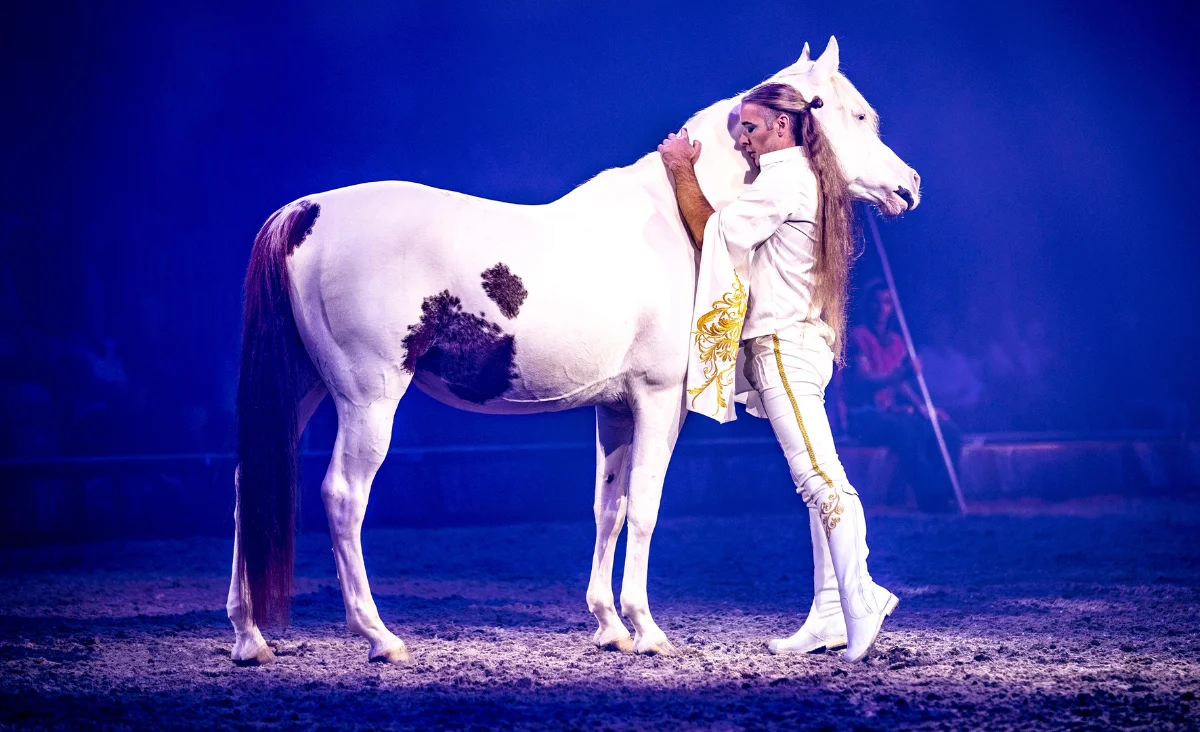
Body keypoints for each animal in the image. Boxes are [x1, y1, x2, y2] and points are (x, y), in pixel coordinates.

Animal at [227, 36, 921, 666]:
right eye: (858, 115)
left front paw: (610, 627)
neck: (675, 218)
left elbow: (608, 508)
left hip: (302, 390)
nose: (909, 184)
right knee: (344, 496)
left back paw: (250, 638)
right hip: (369, 398)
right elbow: (645, 507)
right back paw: (379, 637)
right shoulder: (658, 400)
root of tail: (305, 213)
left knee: (249, 481)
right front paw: (647, 629)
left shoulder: (614, 408)